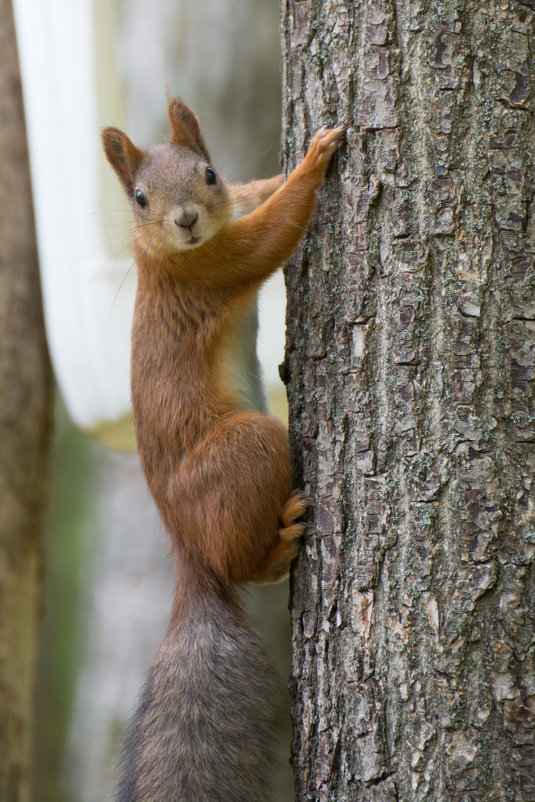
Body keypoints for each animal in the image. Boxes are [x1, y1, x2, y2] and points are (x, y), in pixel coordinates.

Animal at [102, 98, 346, 800]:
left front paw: (285, 170)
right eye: (139, 197)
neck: (172, 251)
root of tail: (185, 547)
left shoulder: (231, 210)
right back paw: (281, 541)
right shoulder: (211, 268)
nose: (185, 220)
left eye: (208, 173)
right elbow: (271, 235)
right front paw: (314, 162)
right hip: (249, 447)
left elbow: (255, 196)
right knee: (242, 562)